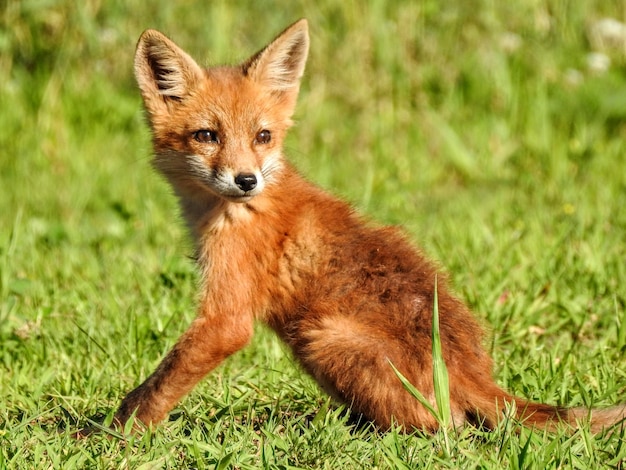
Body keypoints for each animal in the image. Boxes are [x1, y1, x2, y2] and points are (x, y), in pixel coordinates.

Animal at [112, 19, 624, 434]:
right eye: (206, 136)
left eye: (263, 137)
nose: (246, 180)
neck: (233, 211)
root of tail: (474, 372)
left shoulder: (227, 320)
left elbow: (154, 389)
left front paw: (114, 437)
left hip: (322, 337)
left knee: (448, 425)